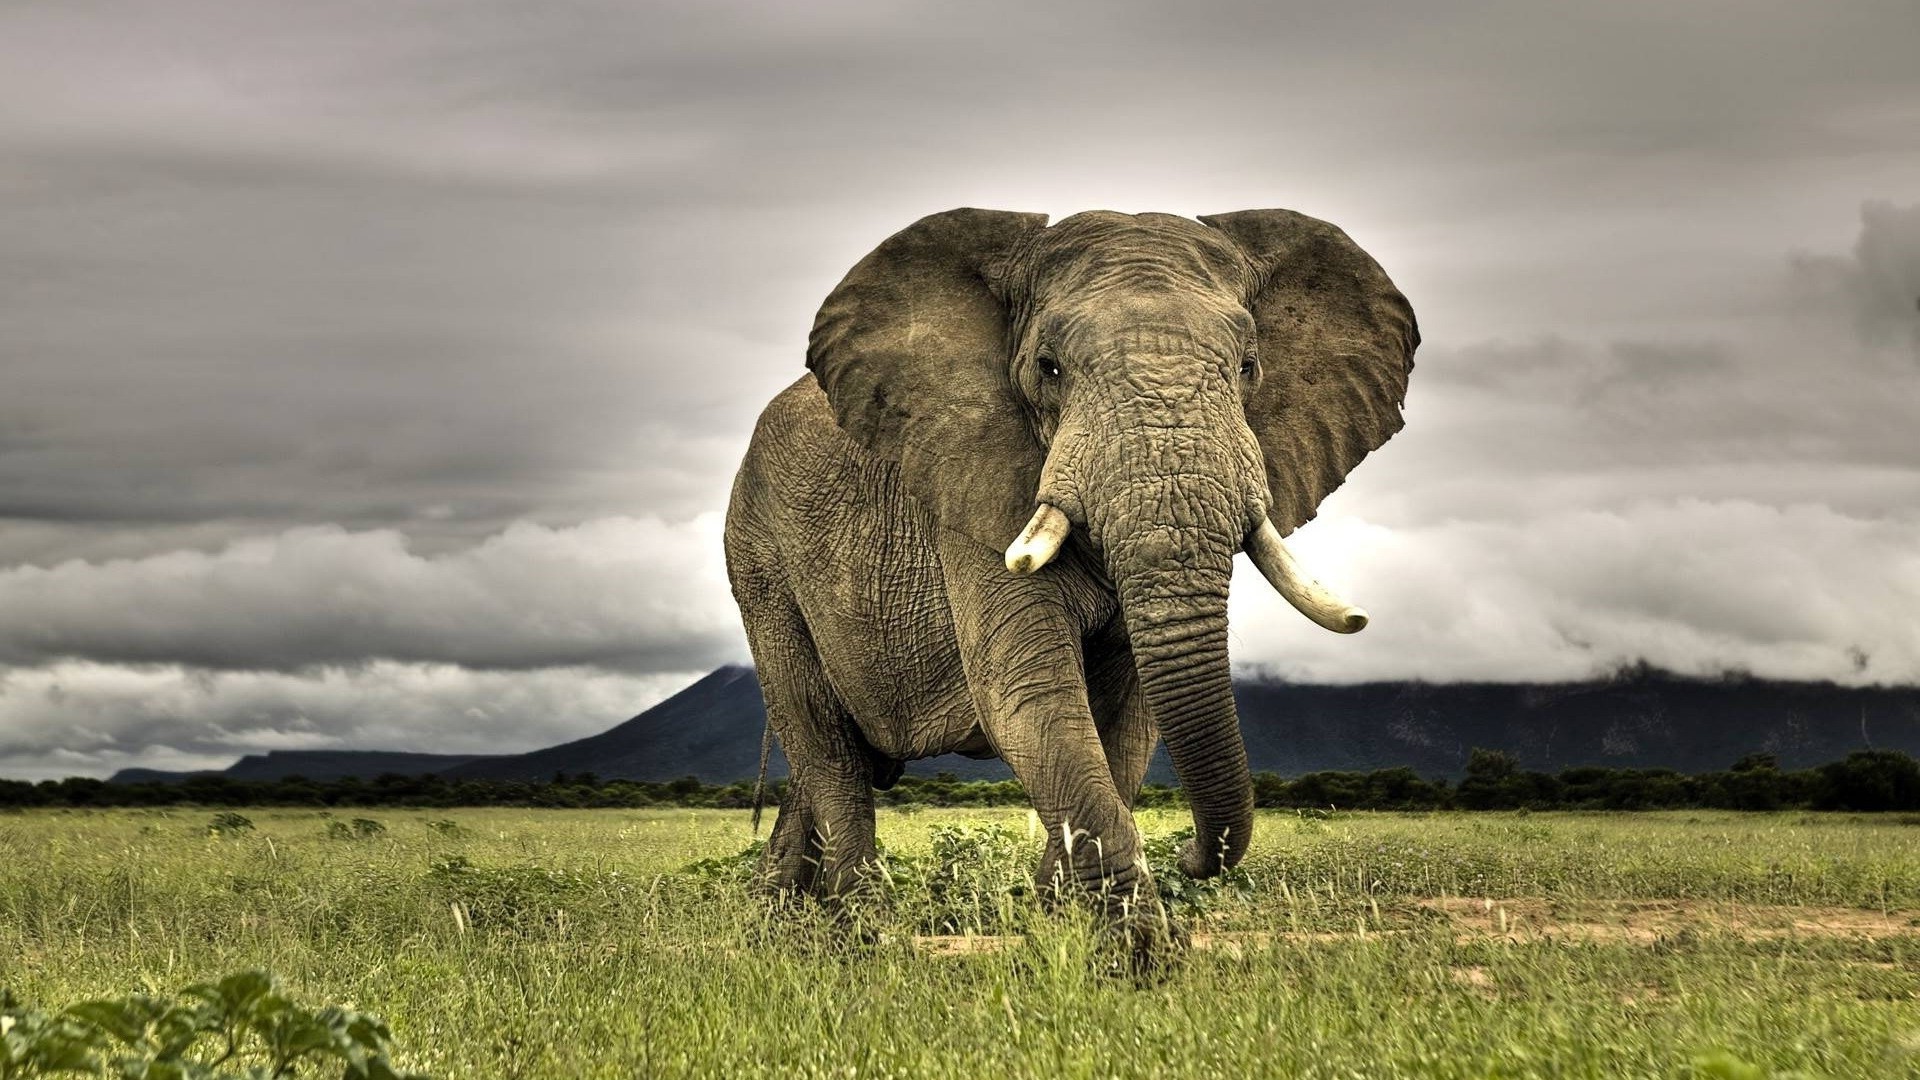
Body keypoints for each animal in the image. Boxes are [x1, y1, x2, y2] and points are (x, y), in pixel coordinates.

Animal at [725, 205, 1420, 945]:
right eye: (1048, 367)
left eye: (1249, 366)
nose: (1191, 853)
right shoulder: (973, 487)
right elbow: (1030, 696)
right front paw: (1137, 956)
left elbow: (1128, 723)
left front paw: (1057, 924)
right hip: (759, 561)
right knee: (826, 747)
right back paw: (860, 937)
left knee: (823, 765)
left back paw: (778, 921)